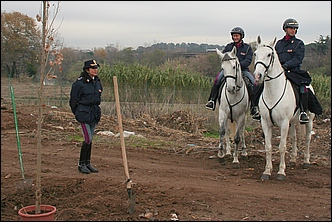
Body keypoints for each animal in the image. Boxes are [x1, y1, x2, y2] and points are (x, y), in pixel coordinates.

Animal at [253, 36, 316, 180]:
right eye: (255, 54)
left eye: (269, 54)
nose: (258, 76)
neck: (272, 93)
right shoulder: (266, 123)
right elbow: (268, 147)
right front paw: (267, 171)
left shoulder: (283, 123)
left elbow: (282, 147)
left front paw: (281, 172)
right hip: (291, 122)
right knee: (294, 137)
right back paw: (292, 159)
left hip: (308, 120)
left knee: (307, 138)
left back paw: (306, 161)